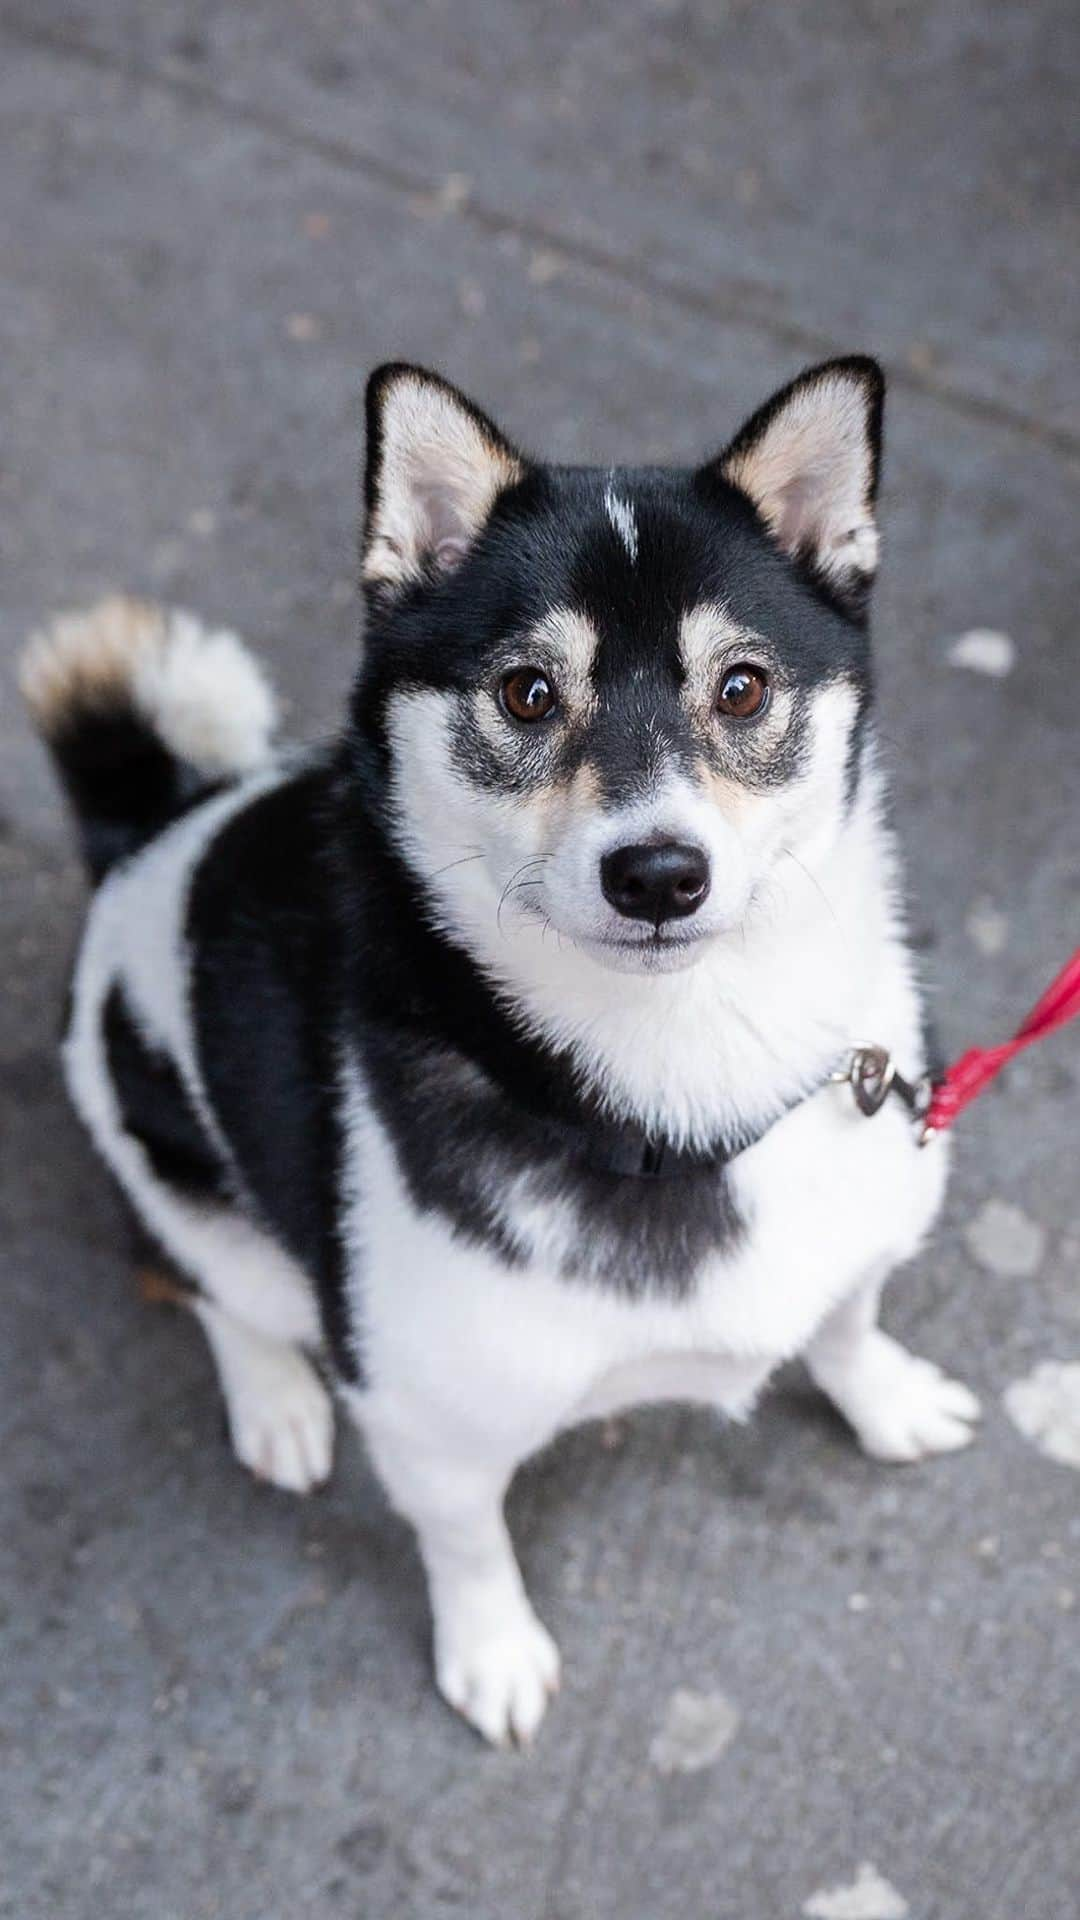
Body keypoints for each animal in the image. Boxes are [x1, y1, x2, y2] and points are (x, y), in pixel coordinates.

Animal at [18, 353, 976, 1751]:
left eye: (742, 686)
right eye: (528, 692)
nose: (658, 874)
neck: (677, 1079)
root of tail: (153, 832)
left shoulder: (857, 1220)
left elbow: (848, 1317)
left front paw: (888, 1396)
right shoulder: (432, 1424)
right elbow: (467, 1543)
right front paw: (492, 1650)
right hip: (170, 1159)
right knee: (198, 1278)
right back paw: (277, 1399)